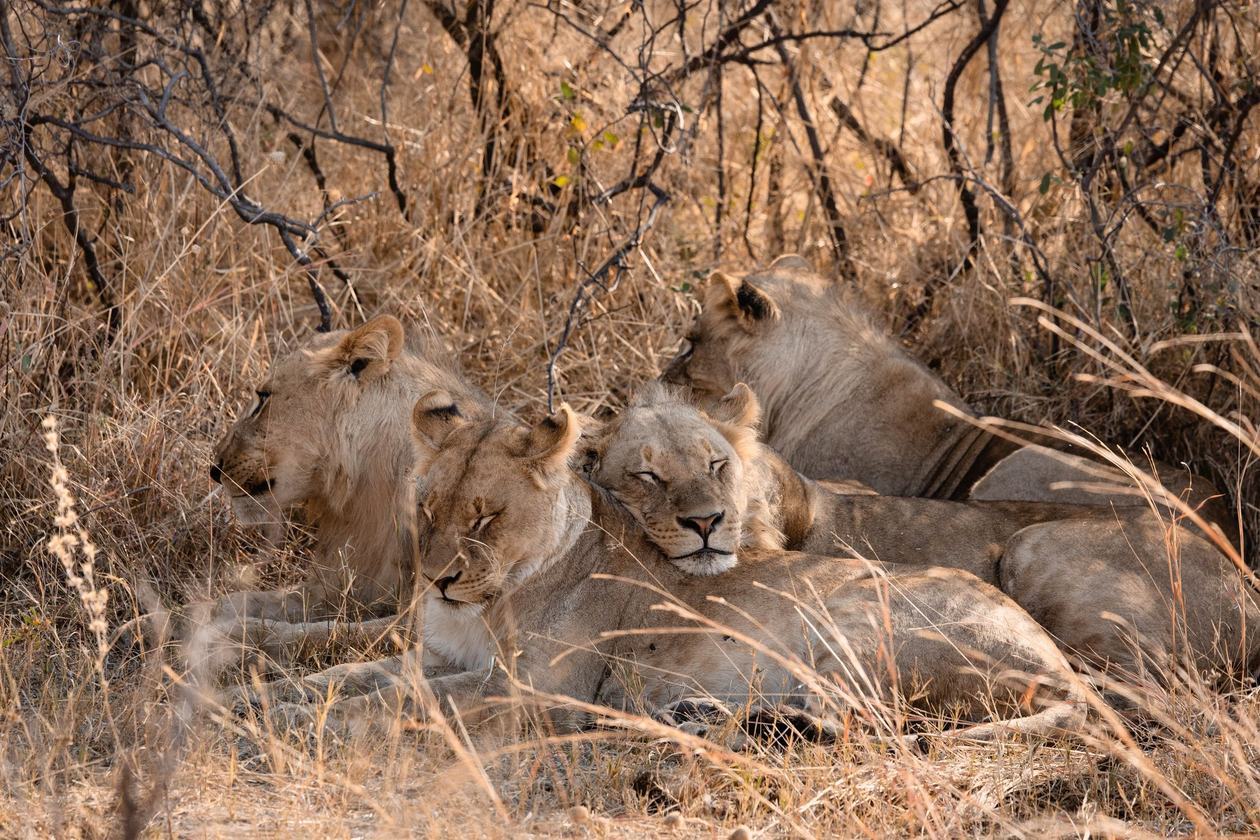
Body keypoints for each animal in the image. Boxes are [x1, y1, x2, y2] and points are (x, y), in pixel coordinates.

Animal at [206, 314, 487, 663]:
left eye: (263, 397)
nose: (214, 469)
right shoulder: (342, 583)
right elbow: (251, 600)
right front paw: (186, 618)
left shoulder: (426, 615)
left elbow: (320, 632)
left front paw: (230, 637)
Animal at [258, 396, 1094, 746]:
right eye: (425, 508)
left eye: (486, 517)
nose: (435, 582)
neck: (491, 600)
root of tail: (1062, 668)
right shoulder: (443, 655)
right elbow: (352, 676)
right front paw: (267, 699)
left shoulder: (540, 693)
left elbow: (408, 703)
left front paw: (291, 725)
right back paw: (711, 717)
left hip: (851, 631)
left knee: (877, 722)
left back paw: (750, 725)